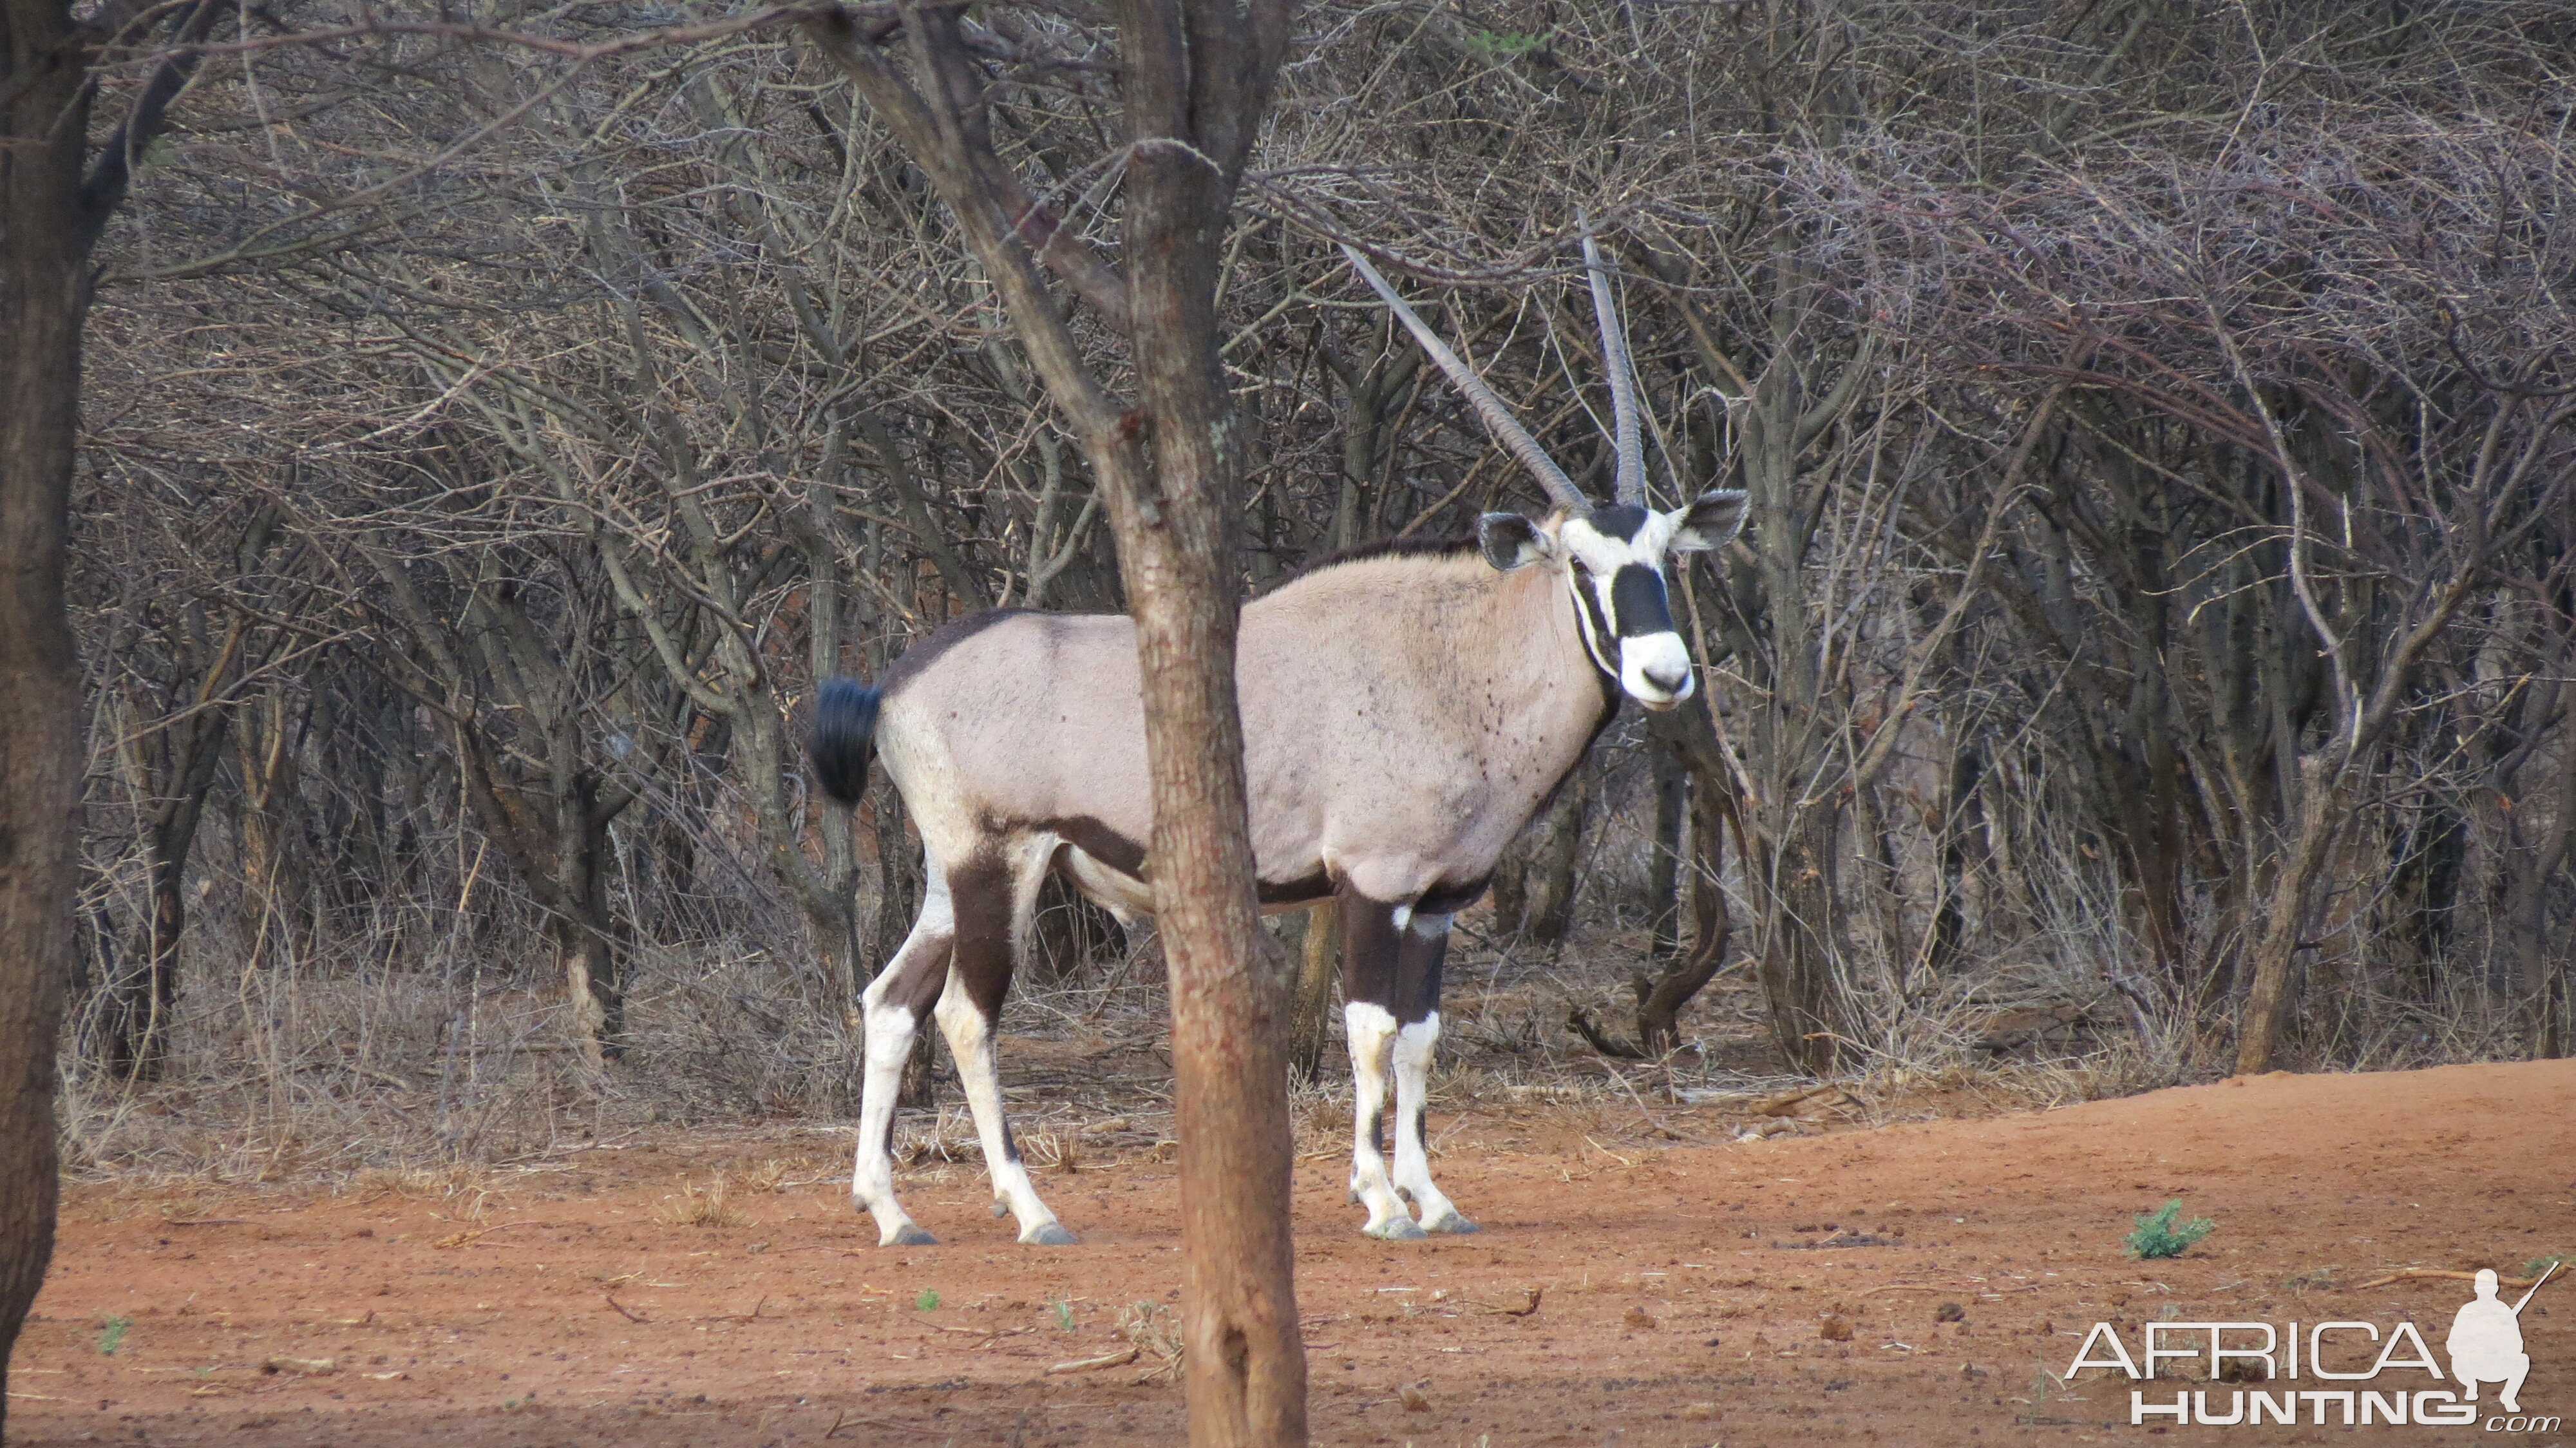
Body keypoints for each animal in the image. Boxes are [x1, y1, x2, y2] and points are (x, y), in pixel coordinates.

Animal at [814, 237, 1741, 1242]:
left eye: (1666, 556)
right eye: (1580, 565)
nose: (1664, 673)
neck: (1455, 657)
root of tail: (892, 686)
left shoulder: (1442, 898)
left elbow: (1421, 1038)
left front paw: (1432, 1195)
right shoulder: (1375, 883)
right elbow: (1371, 1029)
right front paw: (1379, 1200)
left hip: (951, 878)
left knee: (890, 1003)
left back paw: (890, 1210)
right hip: (999, 863)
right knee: (964, 1014)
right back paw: (1030, 1207)